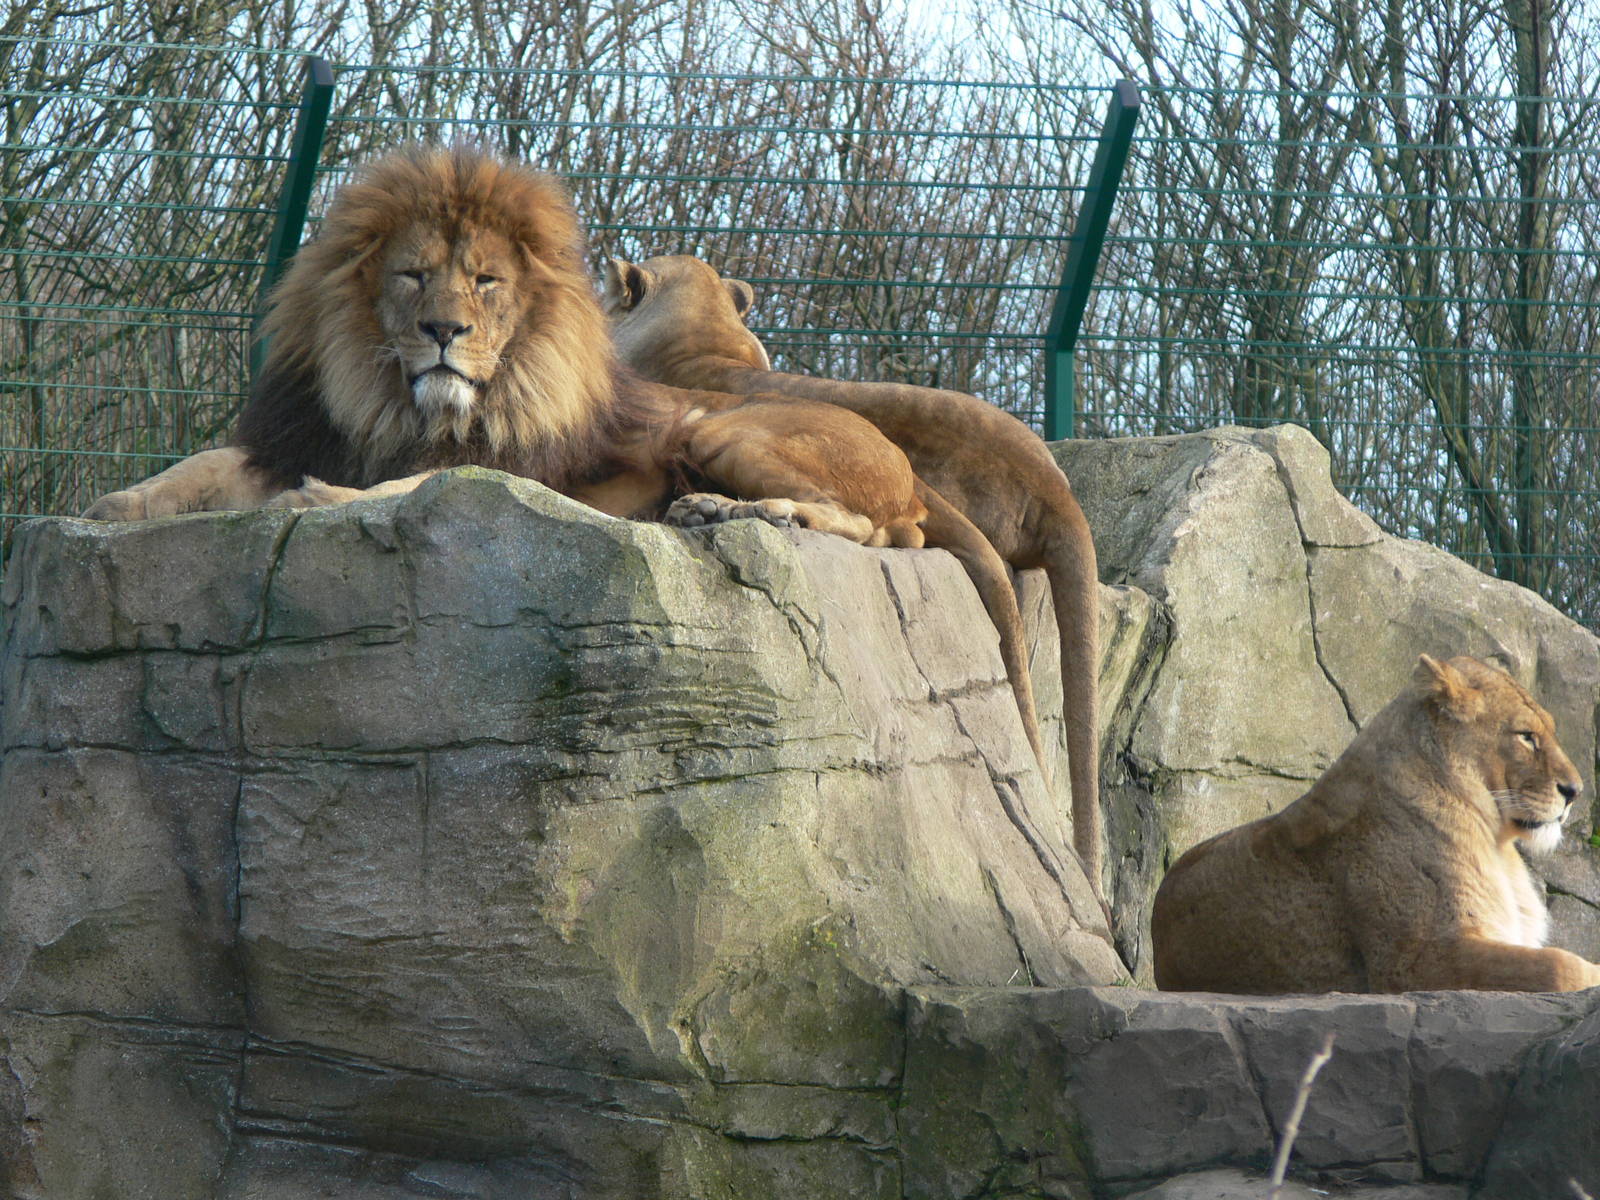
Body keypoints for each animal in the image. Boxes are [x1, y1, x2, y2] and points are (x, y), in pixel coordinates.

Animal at [81, 146, 932, 551]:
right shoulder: (302, 440)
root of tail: (916, 485)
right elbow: (199, 465)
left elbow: (421, 486)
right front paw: (109, 508)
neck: (401, 407)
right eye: (415, 276)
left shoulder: (511, 467)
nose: (443, 332)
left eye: (486, 281)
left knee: (866, 527)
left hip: (717, 428)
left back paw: (733, 510)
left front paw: (317, 500)